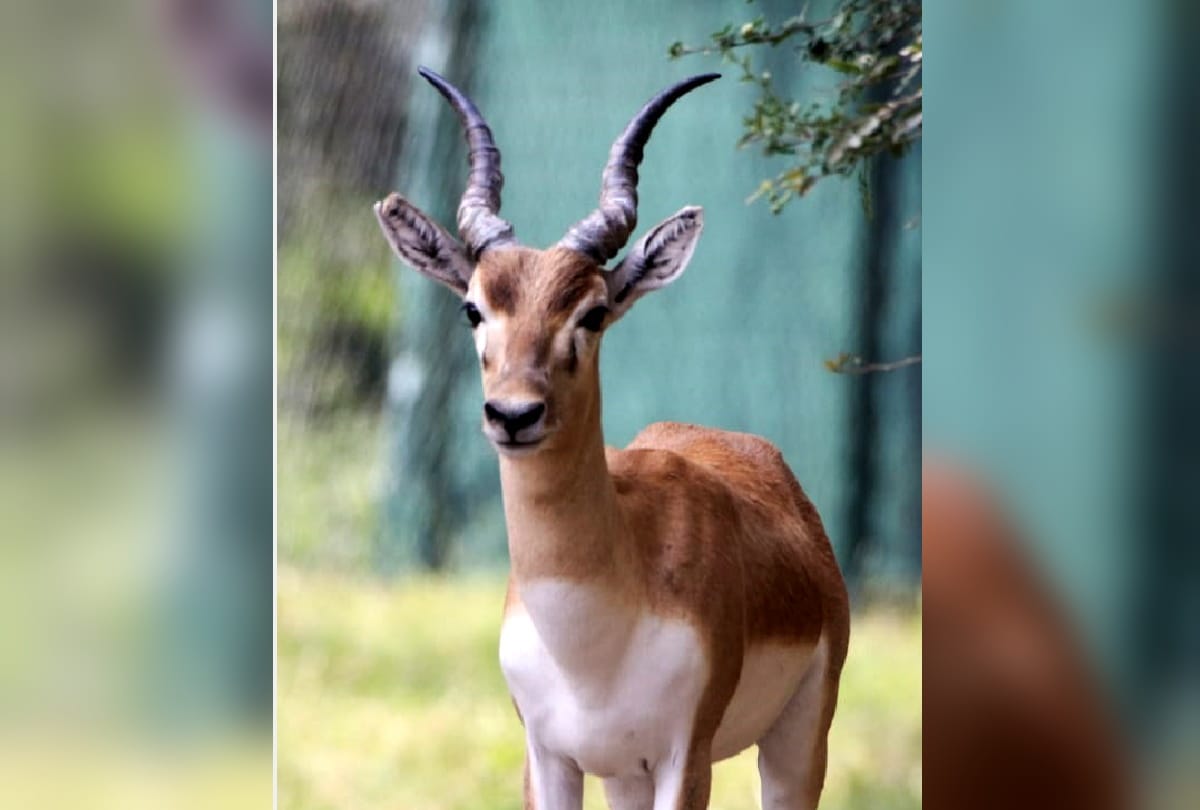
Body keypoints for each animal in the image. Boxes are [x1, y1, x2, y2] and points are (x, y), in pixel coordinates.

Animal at [374, 67, 850, 810]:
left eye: (593, 312)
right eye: (473, 308)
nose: (514, 414)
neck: (591, 635)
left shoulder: (686, 759)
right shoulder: (547, 758)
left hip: (797, 743)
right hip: (624, 777)